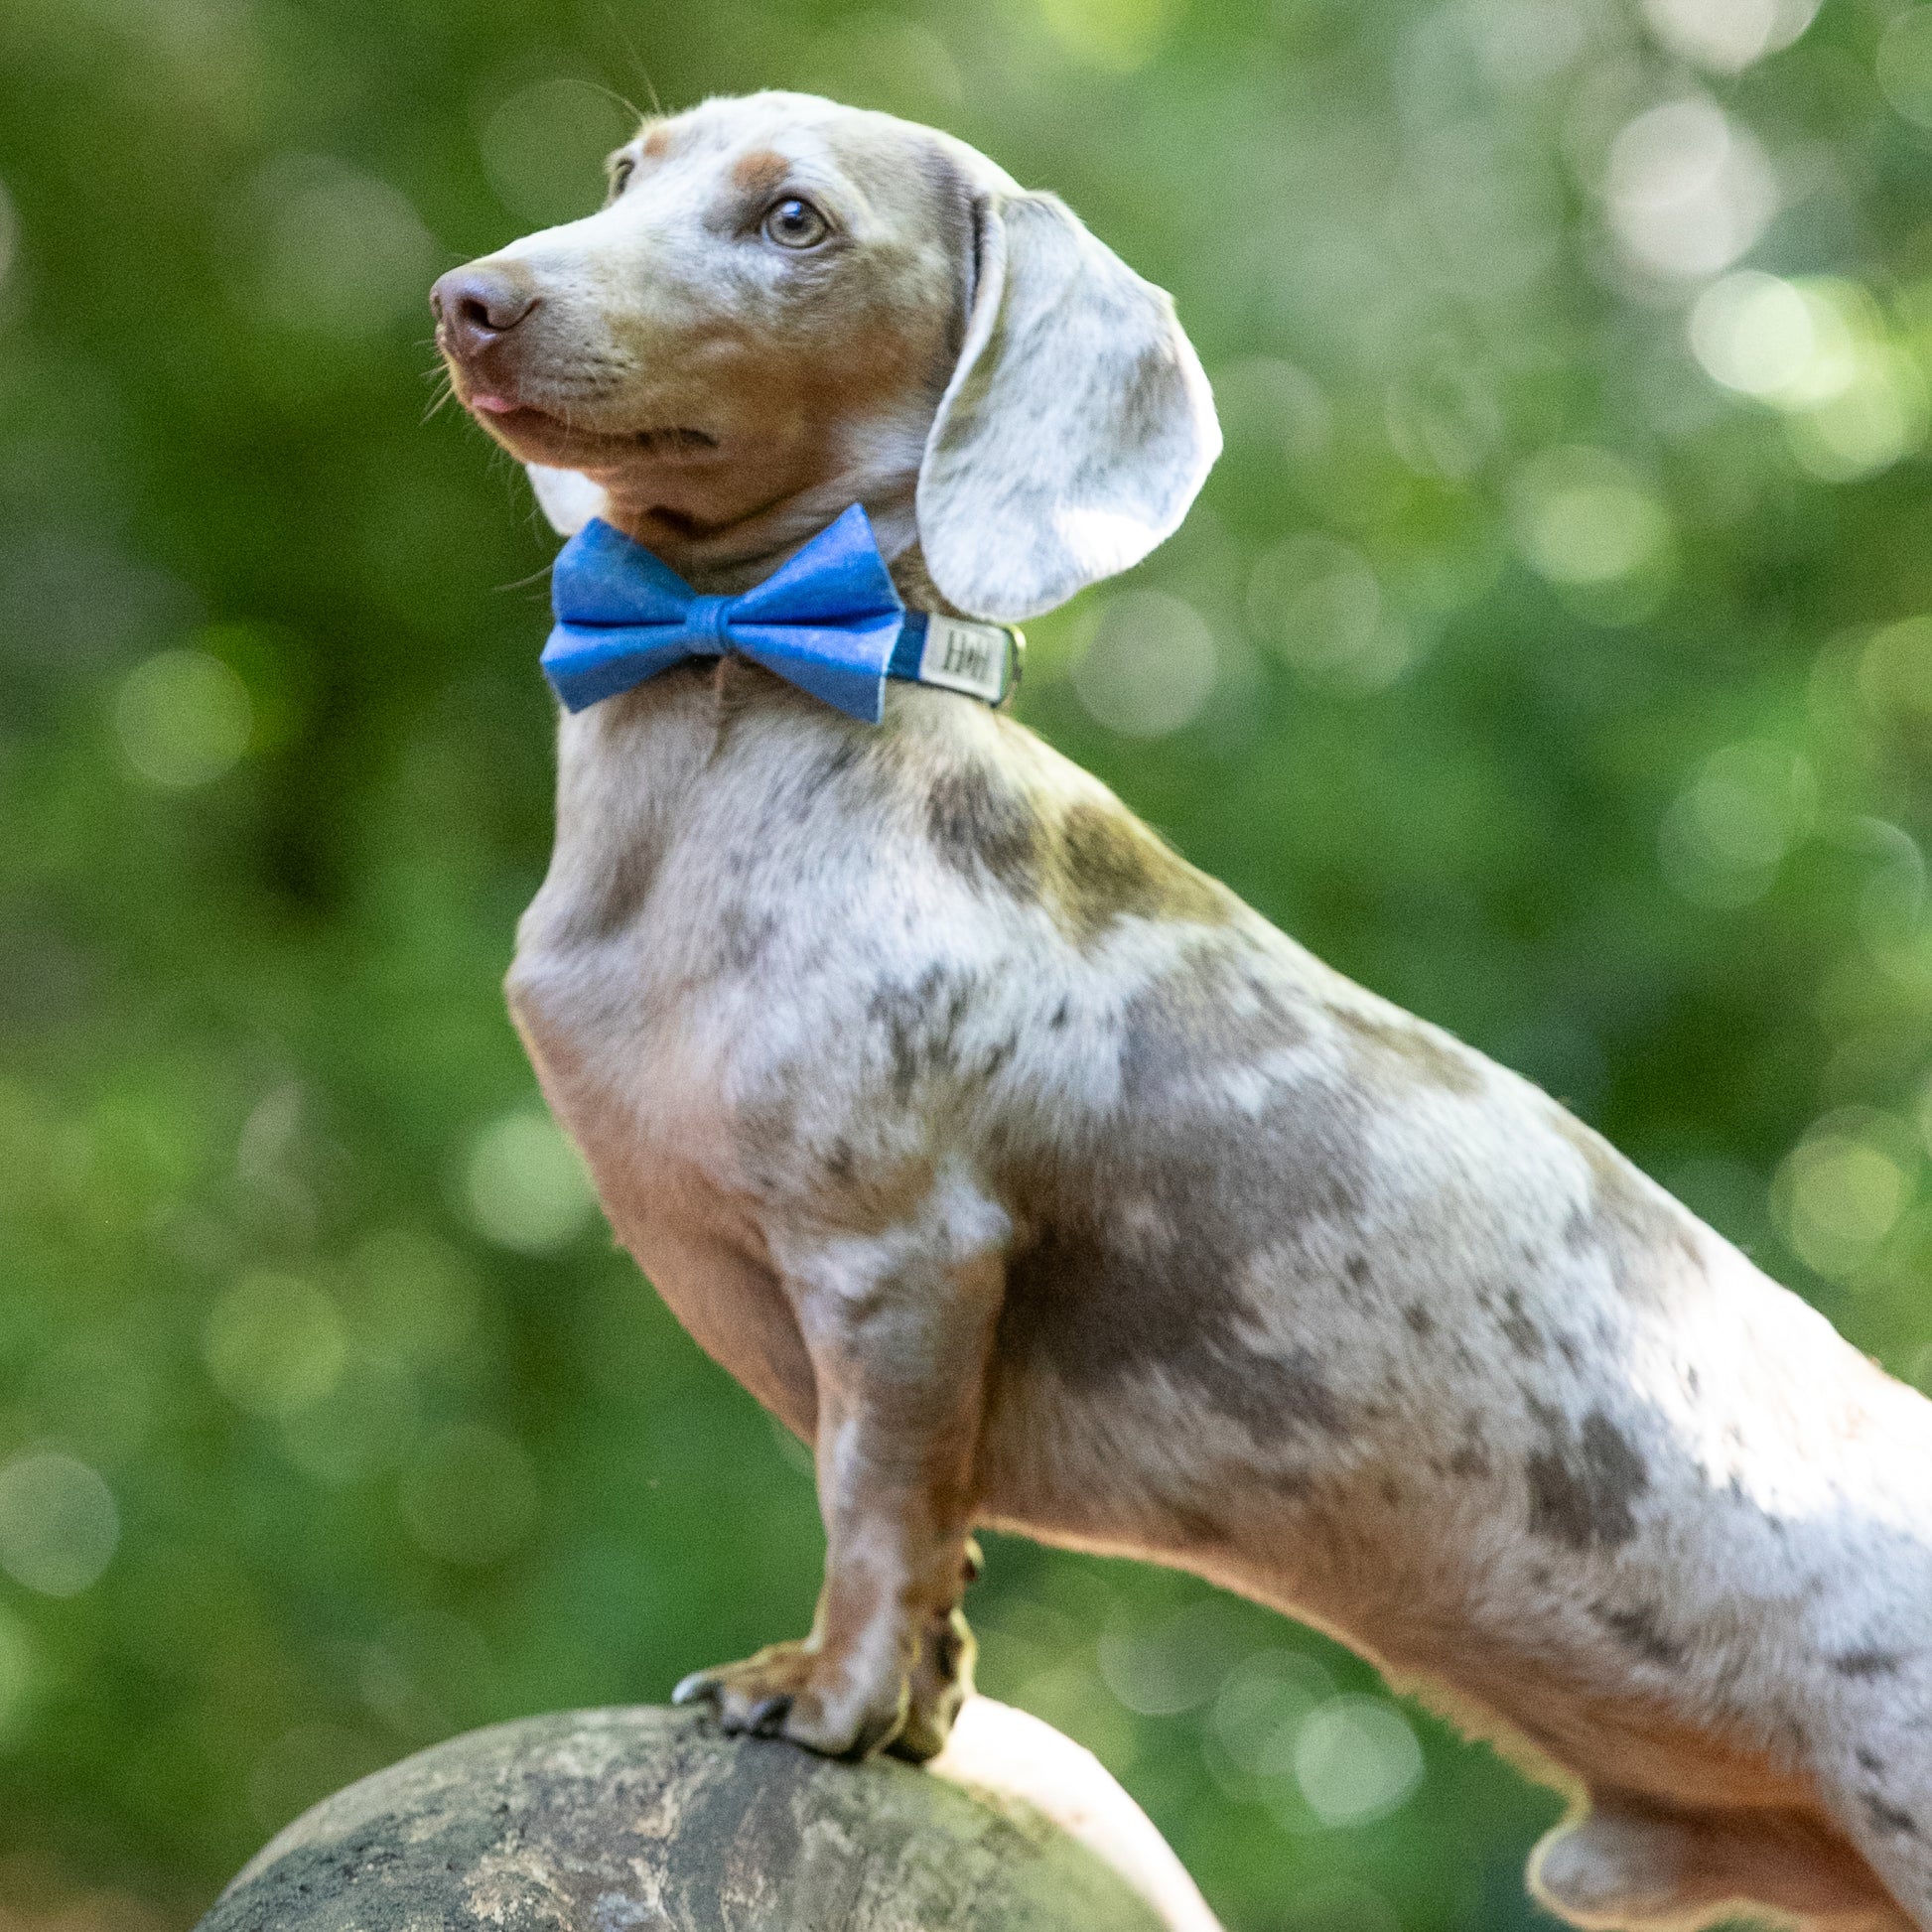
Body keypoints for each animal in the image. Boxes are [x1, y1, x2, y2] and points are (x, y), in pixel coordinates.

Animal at [434, 93, 1932, 1932]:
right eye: (621, 176)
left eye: (796, 221)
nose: (469, 298)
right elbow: (933, 1560)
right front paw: (916, 1706)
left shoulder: (900, 1256)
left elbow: (875, 1506)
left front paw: (830, 1699)